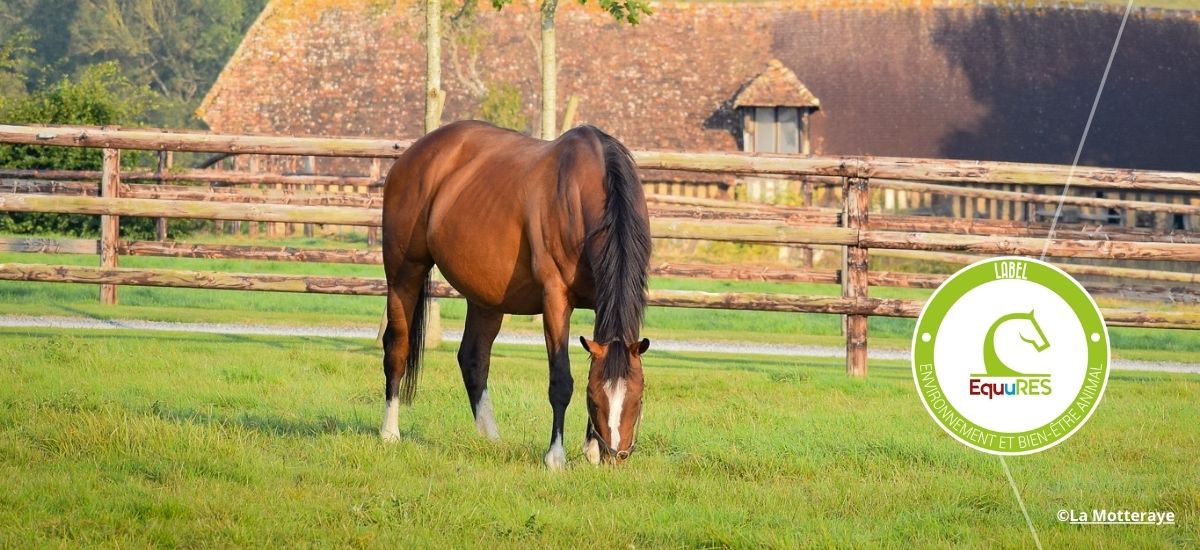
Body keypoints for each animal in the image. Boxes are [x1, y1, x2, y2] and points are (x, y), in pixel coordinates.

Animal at [379, 120, 652, 468]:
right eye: (593, 397)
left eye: (639, 397)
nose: (616, 457)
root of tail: (411, 156)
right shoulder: (555, 298)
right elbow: (561, 381)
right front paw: (555, 458)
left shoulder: (599, 303)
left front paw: (590, 450)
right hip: (405, 274)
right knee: (396, 348)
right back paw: (389, 433)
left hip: (485, 297)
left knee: (473, 359)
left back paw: (491, 440)